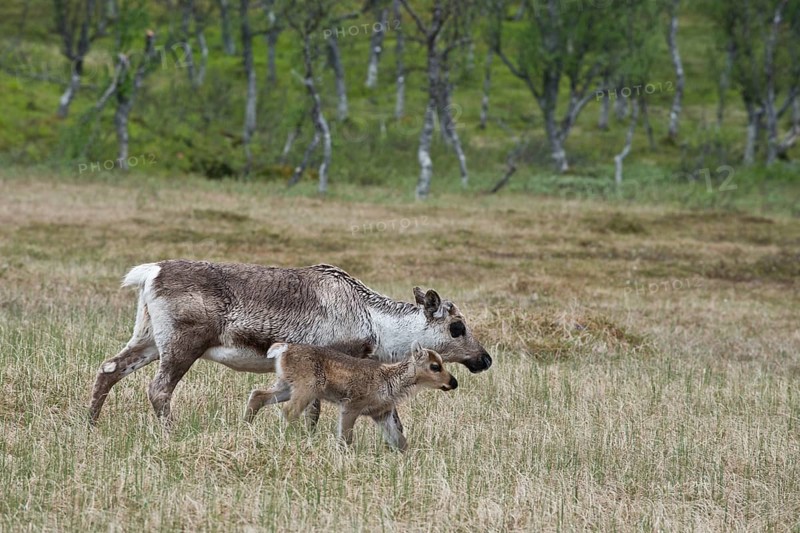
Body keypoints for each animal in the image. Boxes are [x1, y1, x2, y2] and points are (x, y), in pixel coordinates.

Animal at [89, 260, 492, 438]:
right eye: (457, 327)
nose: (485, 359)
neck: (378, 326)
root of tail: (149, 273)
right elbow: (315, 410)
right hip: (181, 343)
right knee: (159, 388)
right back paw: (172, 433)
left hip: (147, 338)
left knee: (109, 368)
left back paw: (90, 424)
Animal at [245, 342, 458, 451]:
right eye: (435, 366)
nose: (454, 382)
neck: (389, 382)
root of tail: (283, 349)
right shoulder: (351, 406)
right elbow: (346, 438)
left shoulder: (382, 414)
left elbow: (401, 441)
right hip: (306, 388)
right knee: (288, 411)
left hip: (286, 386)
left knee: (258, 395)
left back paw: (246, 425)